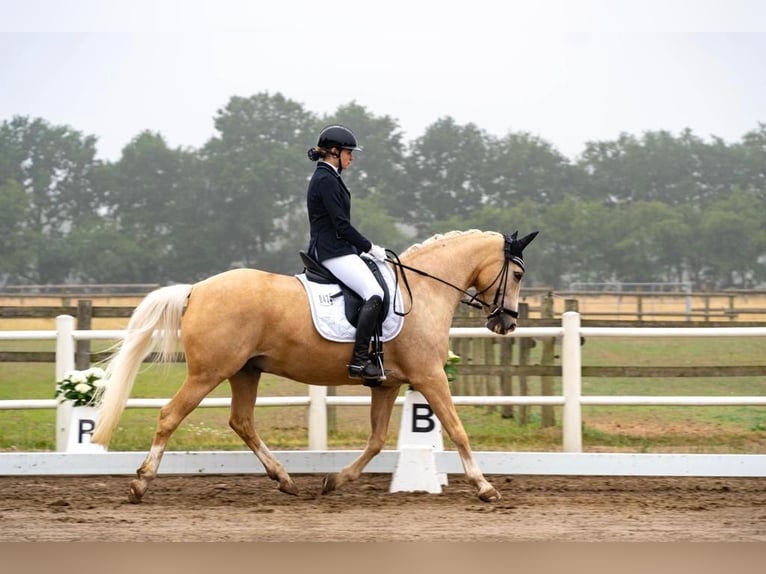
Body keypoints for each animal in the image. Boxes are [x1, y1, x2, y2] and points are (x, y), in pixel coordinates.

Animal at [93, 230, 540, 504]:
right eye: (518, 273)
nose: (507, 323)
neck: (424, 291)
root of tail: (196, 290)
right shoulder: (429, 377)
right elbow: (457, 429)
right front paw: (485, 487)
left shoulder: (387, 384)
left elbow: (377, 440)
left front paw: (334, 480)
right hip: (208, 373)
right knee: (171, 415)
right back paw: (140, 483)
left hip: (246, 371)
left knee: (242, 421)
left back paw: (285, 480)